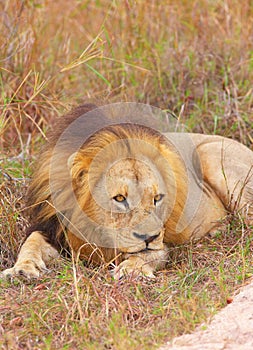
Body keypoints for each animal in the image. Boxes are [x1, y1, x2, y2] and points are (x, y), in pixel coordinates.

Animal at [1, 103, 253, 278]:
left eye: (157, 198)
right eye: (120, 198)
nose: (149, 237)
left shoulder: (163, 242)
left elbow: (149, 253)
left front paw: (131, 271)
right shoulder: (54, 228)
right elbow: (31, 242)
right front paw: (22, 269)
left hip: (215, 157)